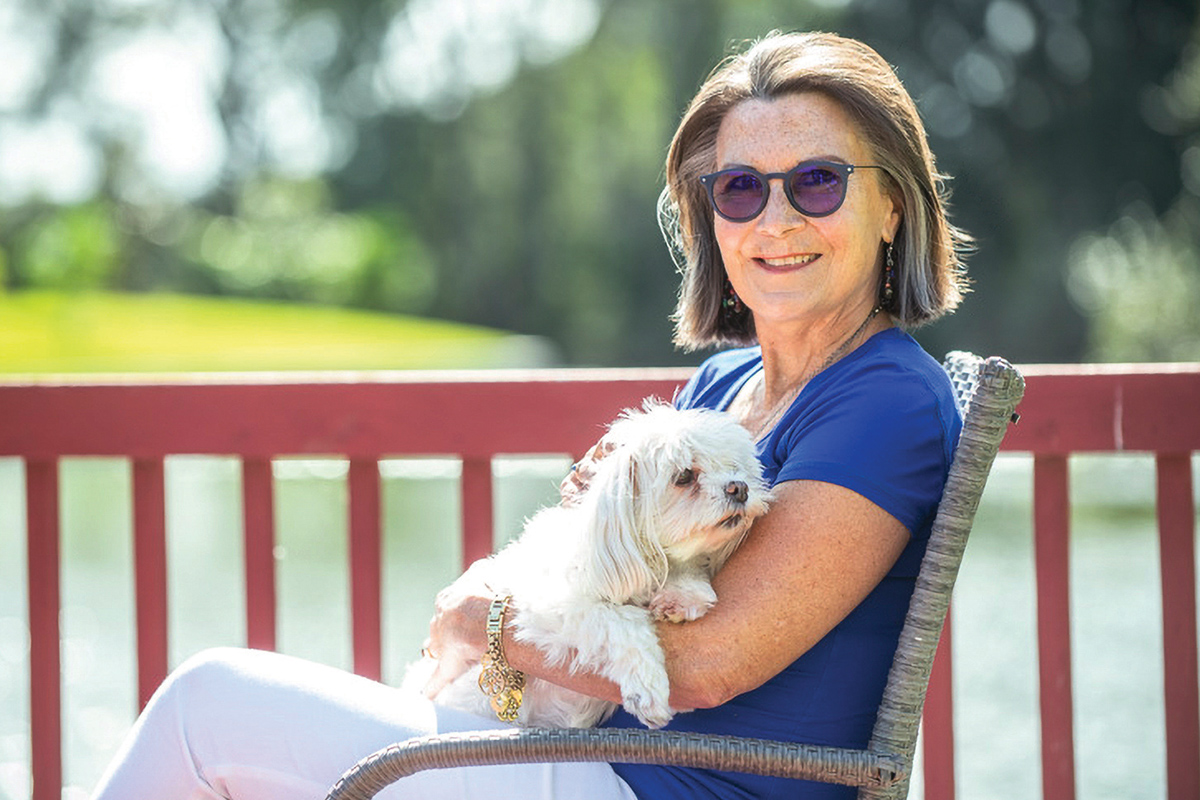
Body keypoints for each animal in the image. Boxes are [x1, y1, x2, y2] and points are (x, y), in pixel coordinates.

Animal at [408, 402, 772, 729]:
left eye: (736, 468)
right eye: (684, 476)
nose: (740, 488)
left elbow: (687, 567)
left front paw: (683, 596)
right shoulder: (545, 608)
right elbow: (619, 620)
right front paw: (647, 686)